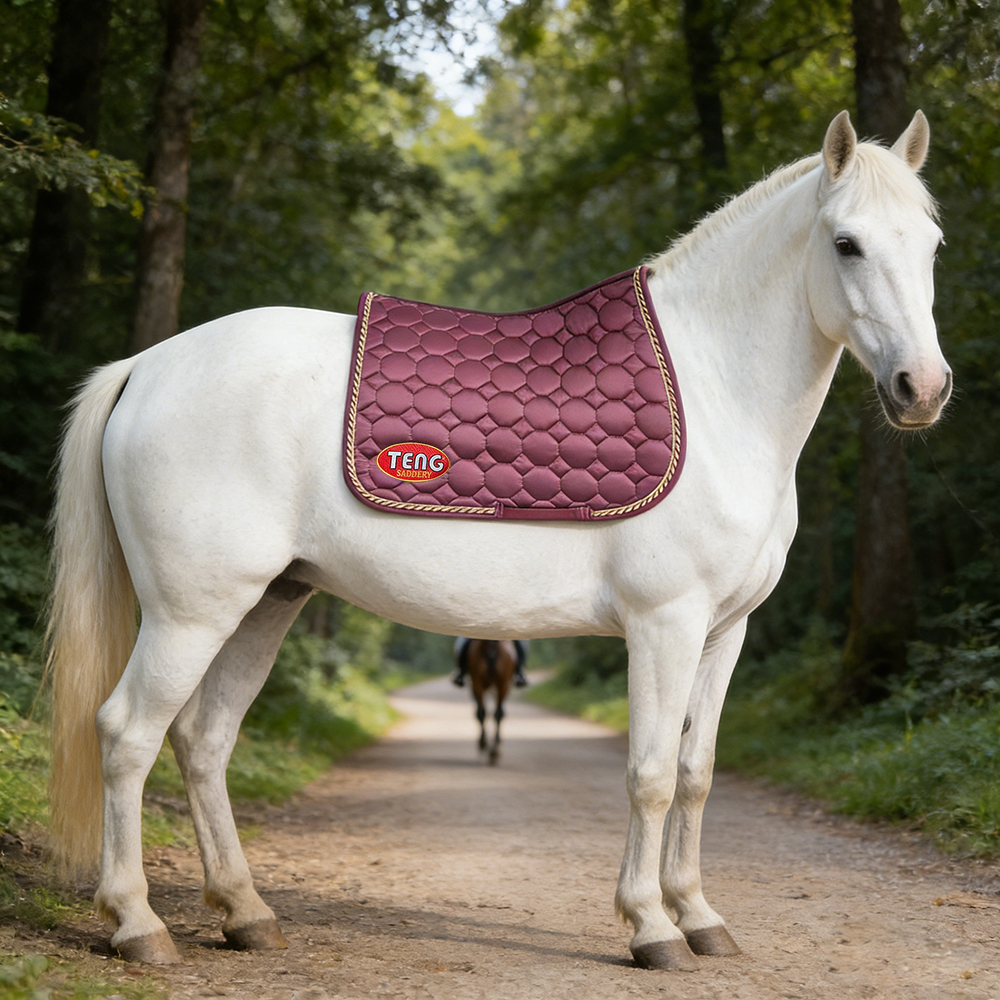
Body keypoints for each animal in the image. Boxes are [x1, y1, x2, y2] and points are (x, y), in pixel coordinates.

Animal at [46, 111, 951, 970]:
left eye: (933, 244)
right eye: (846, 243)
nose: (923, 388)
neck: (714, 390)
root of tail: (147, 366)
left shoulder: (724, 631)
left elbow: (696, 775)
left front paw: (700, 917)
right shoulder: (665, 622)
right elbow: (652, 775)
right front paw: (652, 927)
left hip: (269, 601)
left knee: (204, 743)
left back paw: (245, 913)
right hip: (191, 612)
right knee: (127, 734)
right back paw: (137, 923)